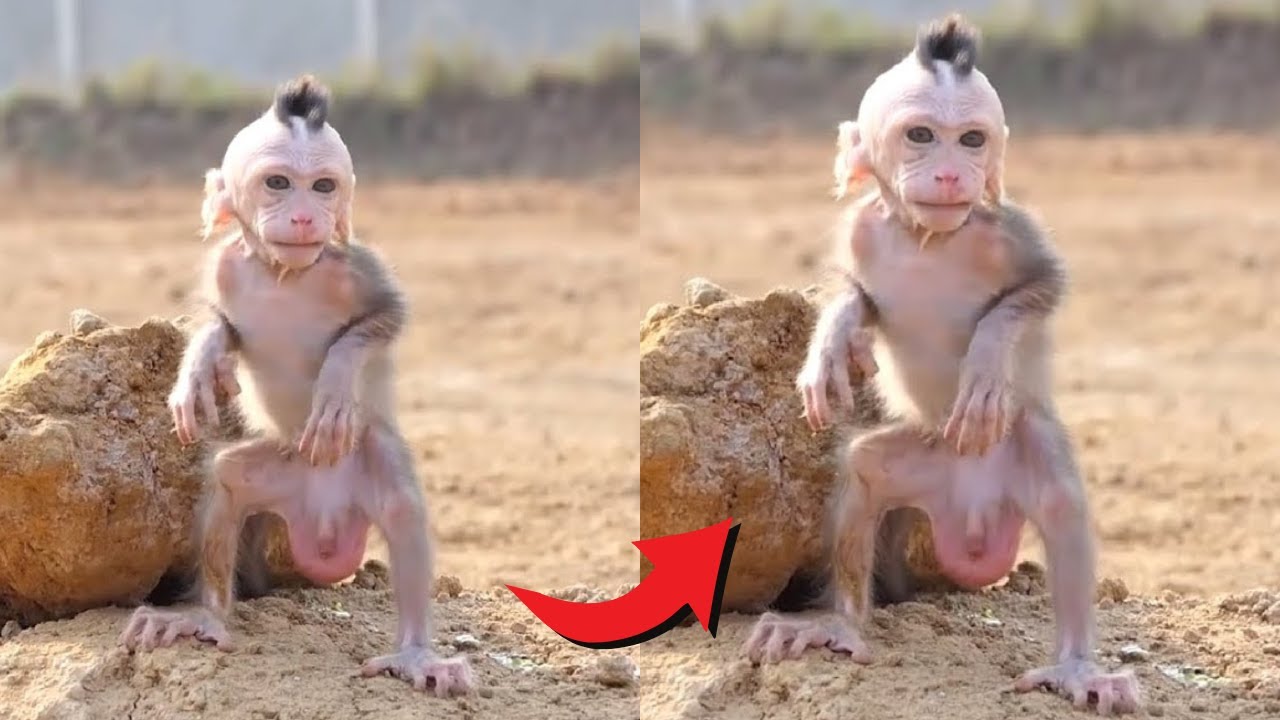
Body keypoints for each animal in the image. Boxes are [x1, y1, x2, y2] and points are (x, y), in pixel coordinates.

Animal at [117, 75, 474, 697]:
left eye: (324, 187)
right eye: (279, 183)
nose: (307, 219)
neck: (286, 273)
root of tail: (324, 520)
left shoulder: (354, 267)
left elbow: (386, 317)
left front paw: (335, 380)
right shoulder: (226, 265)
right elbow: (219, 320)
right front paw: (200, 365)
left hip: (361, 462)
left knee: (400, 504)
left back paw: (415, 654)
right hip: (283, 469)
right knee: (228, 478)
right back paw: (206, 616)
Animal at [742, 16, 1141, 716]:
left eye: (972, 140)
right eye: (922, 136)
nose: (954, 176)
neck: (929, 238)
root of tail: (973, 514)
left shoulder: (1008, 230)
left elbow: (1041, 288)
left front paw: (986, 358)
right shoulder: (861, 228)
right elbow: (854, 290)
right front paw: (833, 341)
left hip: (1015, 450)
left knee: (1059, 499)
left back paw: (1077, 667)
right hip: (926, 458)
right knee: (864, 468)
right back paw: (841, 623)